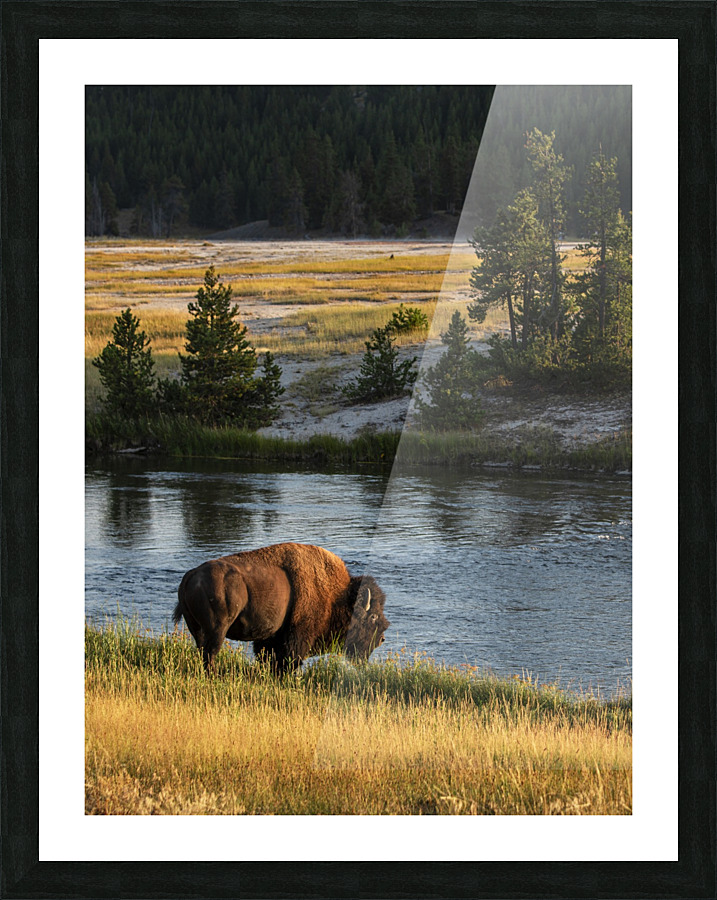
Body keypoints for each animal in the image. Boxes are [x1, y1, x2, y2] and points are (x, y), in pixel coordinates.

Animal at [174, 542, 389, 673]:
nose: (382, 638)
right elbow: (289, 660)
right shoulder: (297, 636)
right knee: (210, 653)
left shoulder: (269, 638)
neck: (335, 595)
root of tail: (191, 575)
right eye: (372, 617)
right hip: (217, 630)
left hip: (197, 629)